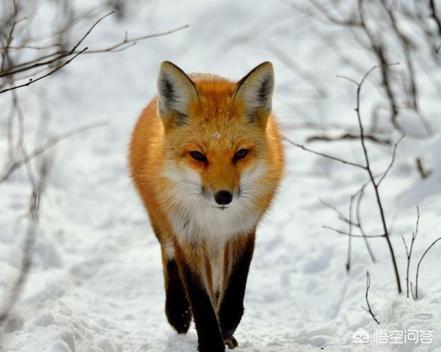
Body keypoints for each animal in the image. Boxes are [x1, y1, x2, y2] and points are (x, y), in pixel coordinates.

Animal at [129, 62, 284, 350]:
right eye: (198, 156)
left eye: (240, 154)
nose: (223, 197)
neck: (215, 221)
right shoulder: (187, 234)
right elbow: (200, 299)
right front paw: (211, 342)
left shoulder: (242, 230)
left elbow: (233, 292)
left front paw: (225, 329)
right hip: (163, 223)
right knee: (169, 256)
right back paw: (177, 313)